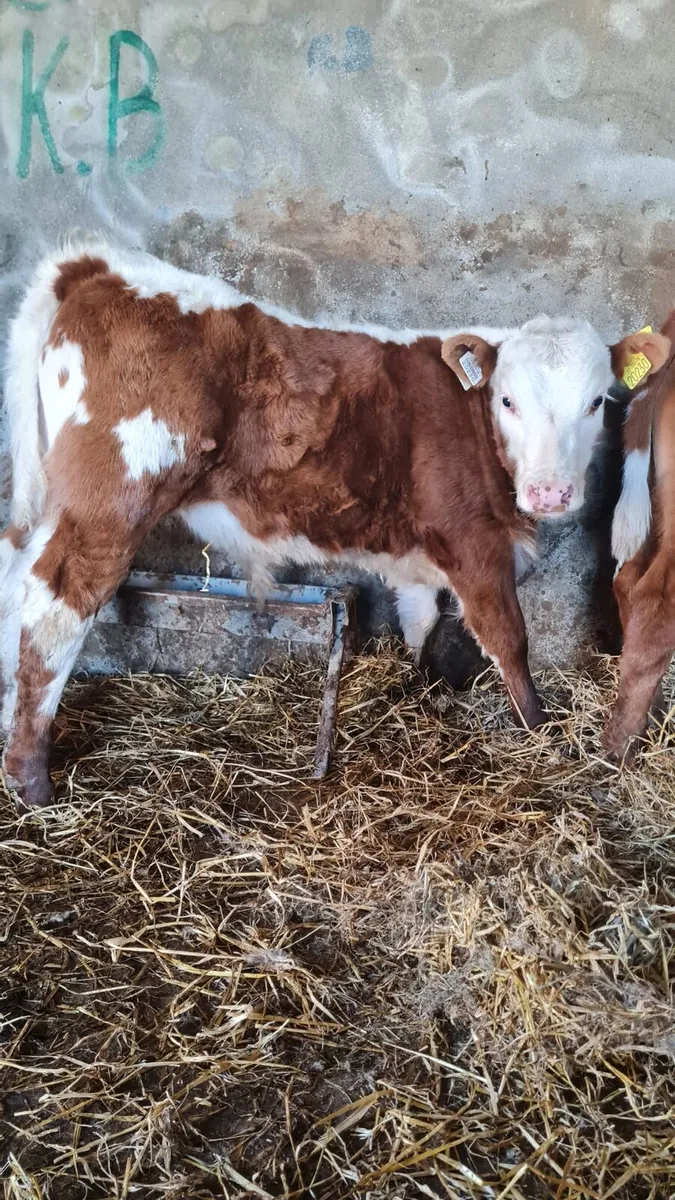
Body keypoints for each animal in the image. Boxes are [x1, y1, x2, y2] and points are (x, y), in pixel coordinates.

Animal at [0, 240, 649, 807]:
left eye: (596, 402)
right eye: (508, 401)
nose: (551, 492)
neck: (472, 423)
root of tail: (99, 268)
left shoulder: (416, 557)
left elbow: (419, 624)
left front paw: (420, 694)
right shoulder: (474, 541)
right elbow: (509, 638)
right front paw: (542, 731)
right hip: (110, 499)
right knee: (56, 604)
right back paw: (31, 782)